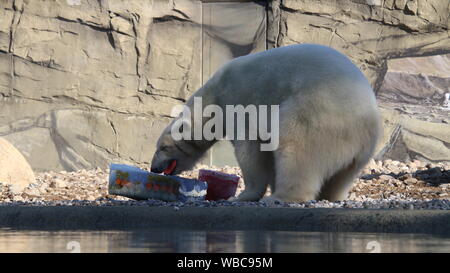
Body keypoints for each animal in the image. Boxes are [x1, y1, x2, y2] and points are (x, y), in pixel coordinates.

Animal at [150, 43, 380, 201]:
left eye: (163, 147)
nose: (153, 168)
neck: (214, 95)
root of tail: (365, 122)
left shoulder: (238, 102)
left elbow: (251, 150)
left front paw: (242, 196)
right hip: (359, 148)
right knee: (344, 174)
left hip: (317, 113)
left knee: (296, 148)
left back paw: (281, 197)